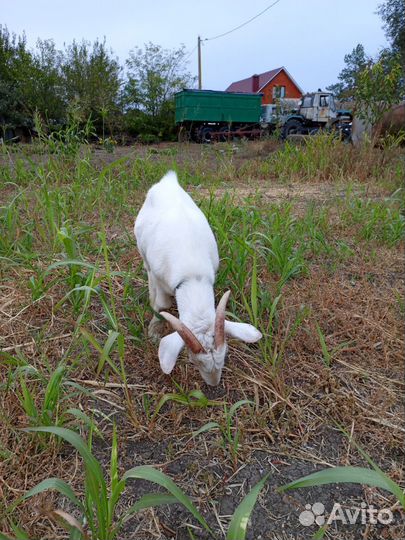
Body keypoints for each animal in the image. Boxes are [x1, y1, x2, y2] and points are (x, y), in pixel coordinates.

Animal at [133, 171, 262, 386]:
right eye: (194, 360)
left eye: (226, 354)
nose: (213, 384)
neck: (193, 278)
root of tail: (169, 180)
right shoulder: (160, 277)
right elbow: (162, 304)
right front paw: (154, 331)